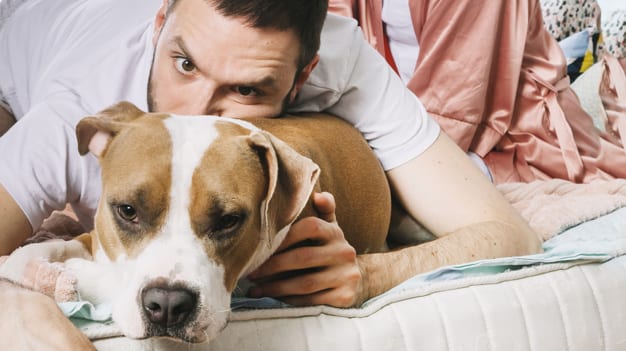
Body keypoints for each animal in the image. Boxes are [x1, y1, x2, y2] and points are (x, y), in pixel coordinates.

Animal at [0, 101, 392, 344]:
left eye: (229, 220)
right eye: (127, 210)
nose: (167, 305)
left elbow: (104, 277)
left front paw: (67, 278)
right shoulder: (97, 235)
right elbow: (44, 249)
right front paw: (35, 267)